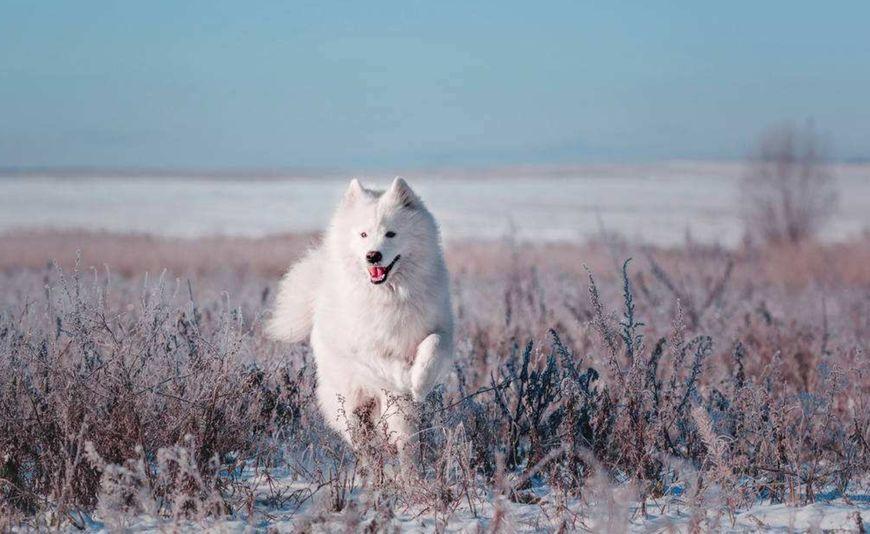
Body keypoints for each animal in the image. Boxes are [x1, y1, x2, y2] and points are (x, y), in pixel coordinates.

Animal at [266, 178, 456, 446]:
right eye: (363, 234)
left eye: (390, 233)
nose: (373, 255)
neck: (388, 295)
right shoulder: (360, 344)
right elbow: (384, 362)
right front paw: (405, 377)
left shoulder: (441, 329)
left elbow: (433, 344)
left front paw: (419, 381)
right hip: (349, 404)